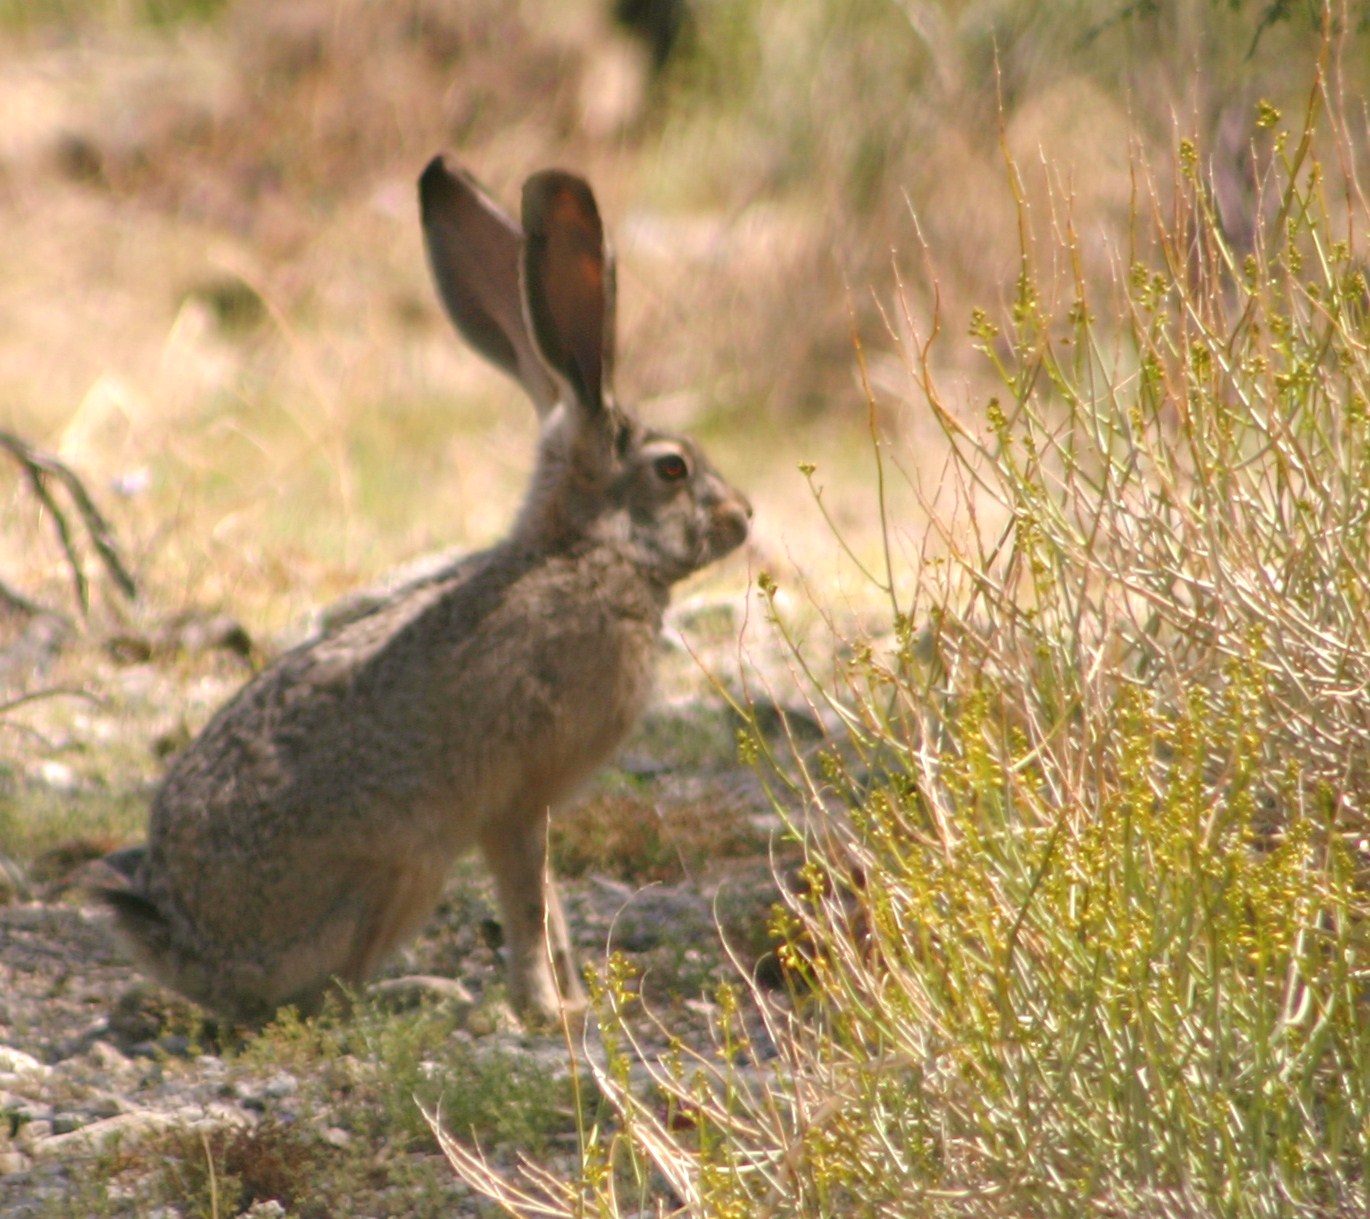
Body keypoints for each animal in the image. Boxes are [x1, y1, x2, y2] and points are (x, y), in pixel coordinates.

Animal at [91, 156, 751, 1026]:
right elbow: (529, 903)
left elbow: (549, 905)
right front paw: (551, 1010)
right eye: (672, 468)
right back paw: (422, 991)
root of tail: (185, 948)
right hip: (400, 863)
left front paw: (573, 1000)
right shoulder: (515, 797)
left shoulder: (529, 805)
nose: (744, 516)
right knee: (320, 999)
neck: (588, 552)